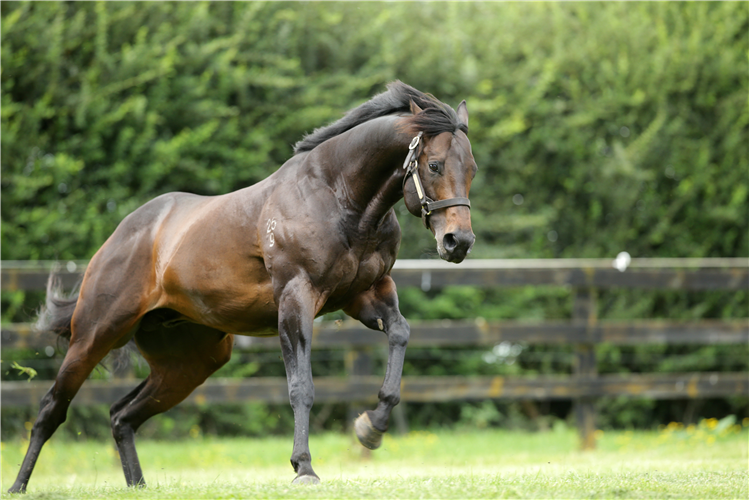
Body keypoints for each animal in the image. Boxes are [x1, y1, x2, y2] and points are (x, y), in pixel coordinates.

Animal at [8, 80, 476, 490]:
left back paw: (137, 486)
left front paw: (371, 428)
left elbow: (400, 334)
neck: (340, 198)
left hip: (190, 363)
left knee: (121, 415)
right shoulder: (296, 299)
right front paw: (304, 468)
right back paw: (18, 485)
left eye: (471, 169)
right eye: (434, 165)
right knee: (52, 409)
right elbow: (301, 388)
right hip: (95, 335)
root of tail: (121, 237)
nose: (459, 242)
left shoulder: (365, 294)